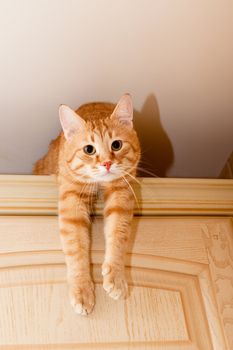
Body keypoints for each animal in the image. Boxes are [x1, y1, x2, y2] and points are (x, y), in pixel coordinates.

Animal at [33, 94, 140, 316]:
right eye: (89, 149)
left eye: (116, 145)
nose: (107, 163)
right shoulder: (71, 202)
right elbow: (76, 249)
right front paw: (82, 290)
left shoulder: (121, 194)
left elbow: (118, 236)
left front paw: (116, 277)